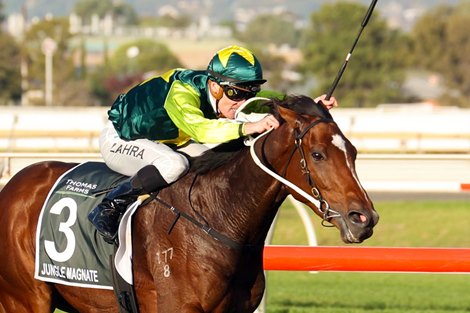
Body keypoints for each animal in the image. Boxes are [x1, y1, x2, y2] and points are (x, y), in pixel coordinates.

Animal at [0, 95, 378, 312]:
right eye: (318, 154)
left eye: (353, 151)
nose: (364, 218)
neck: (217, 218)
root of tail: (12, 187)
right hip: (25, 299)